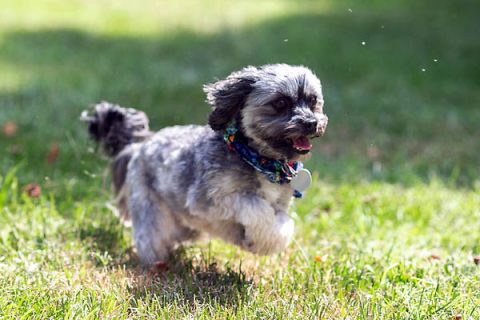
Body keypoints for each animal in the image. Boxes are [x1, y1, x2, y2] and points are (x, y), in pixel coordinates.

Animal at [83, 63, 330, 266]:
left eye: (313, 101)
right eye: (280, 102)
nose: (311, 123)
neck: (258, 160)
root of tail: (140, 145)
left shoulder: (279, 204)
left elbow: (282, 225)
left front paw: (261, 241)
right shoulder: (208, 199)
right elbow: (255, 206)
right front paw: (258, 237)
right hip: (151, 210)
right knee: (151, 238)